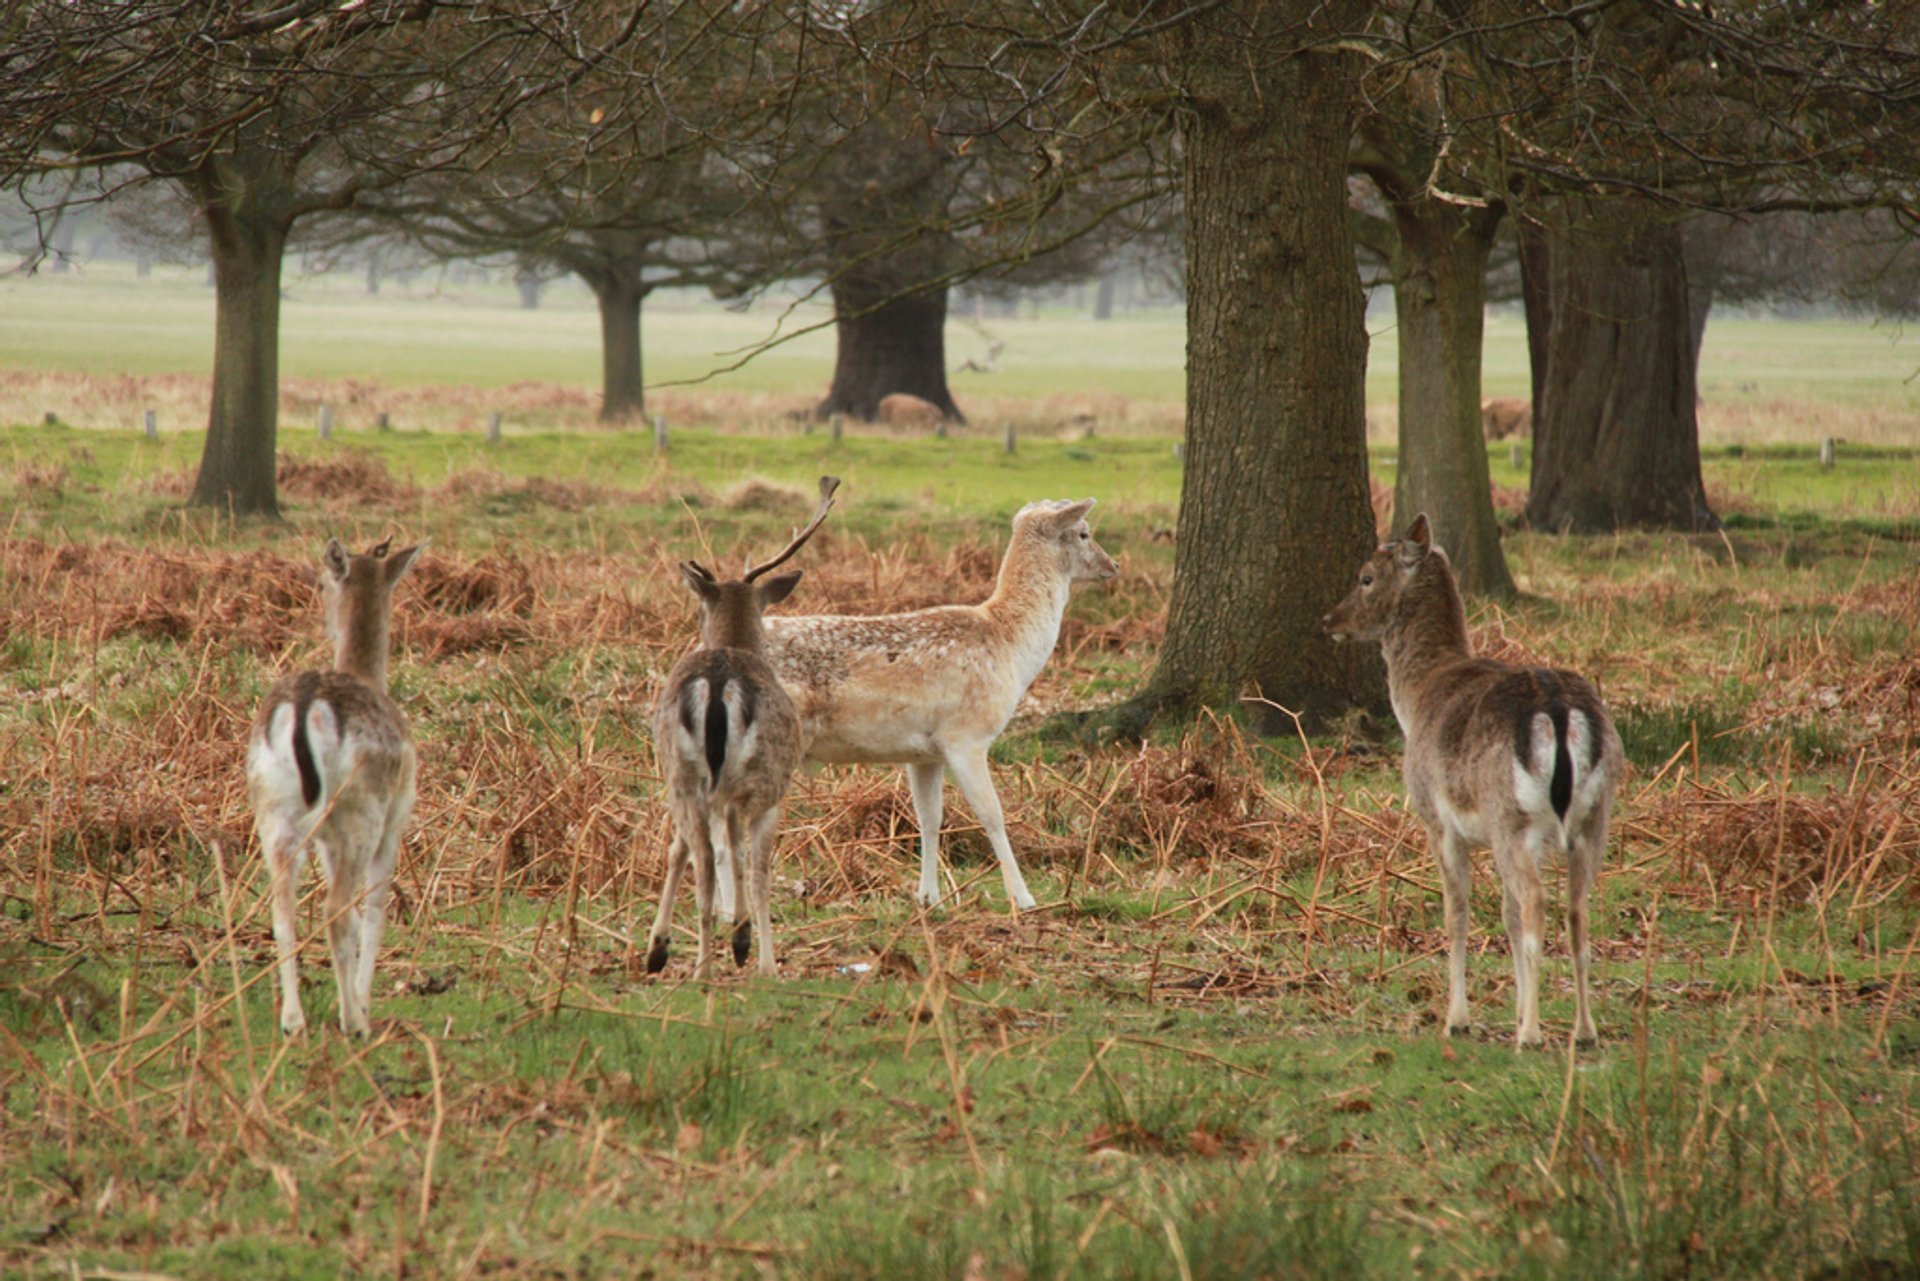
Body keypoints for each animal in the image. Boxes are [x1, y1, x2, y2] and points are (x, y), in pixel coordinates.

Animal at [247, 537, 424, 1037]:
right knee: (335, 908)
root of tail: (307, 707)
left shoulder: (328, 841)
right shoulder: (395, 822)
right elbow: (376, 908)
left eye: (321, 583)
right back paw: (352, 1022)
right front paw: (363, 1003)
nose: (322, 619)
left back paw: (293, 1021)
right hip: (360, 811)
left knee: (283, 909)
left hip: (273, 808)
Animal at [648, 476, 837, 975]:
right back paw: (720, 957)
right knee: (730, 859)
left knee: (697, 852)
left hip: (681, 772)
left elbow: (683, 850)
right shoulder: (767, 794)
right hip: (759, 776)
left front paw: (658, 947)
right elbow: (756, 867)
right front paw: (760, 956)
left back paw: (696, 962)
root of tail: (717, 684)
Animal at [760, 499, 1121, 910]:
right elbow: (992, 814)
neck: (1011, 648)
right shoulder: (967, 736)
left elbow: (930, 817)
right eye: (1084, 532)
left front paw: (929, 897)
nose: (1113, 565)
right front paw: (1024, 898)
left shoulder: (924, 754)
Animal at [1320, 514, 1620, 1044]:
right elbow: (1503, 915)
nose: (1330, 620)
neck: (1417, 697)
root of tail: (1558, 711)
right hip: (1593, 816)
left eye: (1365, 577)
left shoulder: (1437, 819)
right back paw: (1584, 1030)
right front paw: (1515, 1009)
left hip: (1513, 817)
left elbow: (1457, 913)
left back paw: (1532, 1035)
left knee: (1536, 902)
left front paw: (1457, 1019)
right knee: (1576, 910)